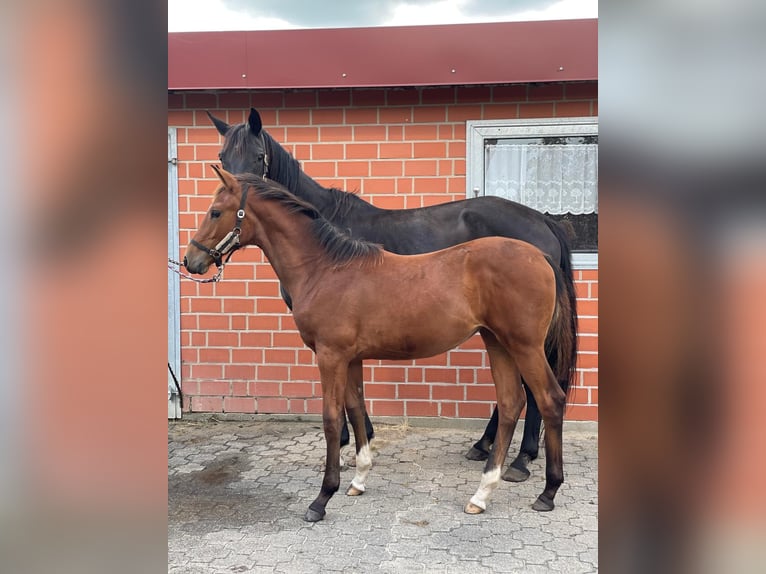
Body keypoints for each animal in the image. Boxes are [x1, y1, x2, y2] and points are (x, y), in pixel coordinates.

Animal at [184, 170, 568, 520]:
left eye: (216, 212)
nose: (192, 260)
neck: (325, 269)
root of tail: (540, 255)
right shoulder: (351, 359)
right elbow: (356, 409)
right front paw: (359, 480)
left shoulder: (330, 357)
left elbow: (331, 419)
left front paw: (322, 498)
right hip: (497, 342)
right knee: (511, 403)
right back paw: (482, 494)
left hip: (525, 346)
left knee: (549, 399)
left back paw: (547, 491)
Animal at [207, 108, 580, 482]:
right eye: (222, 156)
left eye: (258, 156)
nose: (233, 189)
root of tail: (544, 221)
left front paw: (350, 443)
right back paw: (485, 445)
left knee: (534, 388)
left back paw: (521, 459)